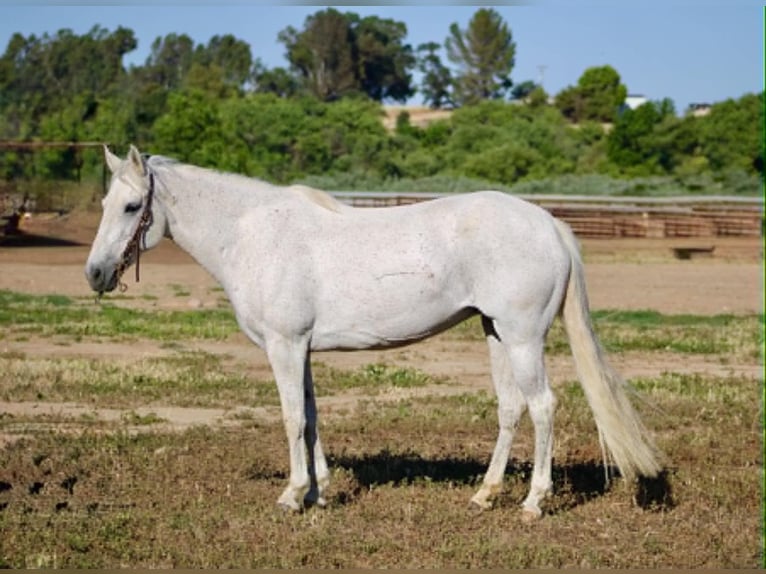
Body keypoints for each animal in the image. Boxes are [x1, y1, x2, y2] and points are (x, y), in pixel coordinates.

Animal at [85, 145, 662, 519]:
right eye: (105, 205)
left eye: (132, 207)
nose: (95, 273)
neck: (255, 234)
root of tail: (550, 225)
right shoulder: (302, 349)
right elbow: (312, 417)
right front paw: (320, 493)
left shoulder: (284, 345)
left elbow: (292, 418)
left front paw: (292, 495)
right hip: (496, 333)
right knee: (511, 408)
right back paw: (484, 495)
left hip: (523, 338)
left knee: (542, 407)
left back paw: (533, 503)